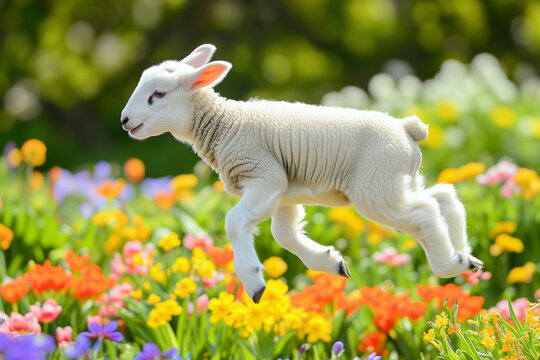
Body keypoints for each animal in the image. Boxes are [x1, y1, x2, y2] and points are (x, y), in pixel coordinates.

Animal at [120, 45, 484, 304]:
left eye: (158, 94)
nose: (125, 121)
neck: (225, 125)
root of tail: (408, 130)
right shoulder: (285, 192)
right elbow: (284, 234)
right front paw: (330, 262)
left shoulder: (264, 174)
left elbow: (234, 222)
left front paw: (254, 283)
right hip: (397, 180)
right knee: (444, 197)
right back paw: (465, 256)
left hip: (375, 188)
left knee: (424, 214)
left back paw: (450, 265)